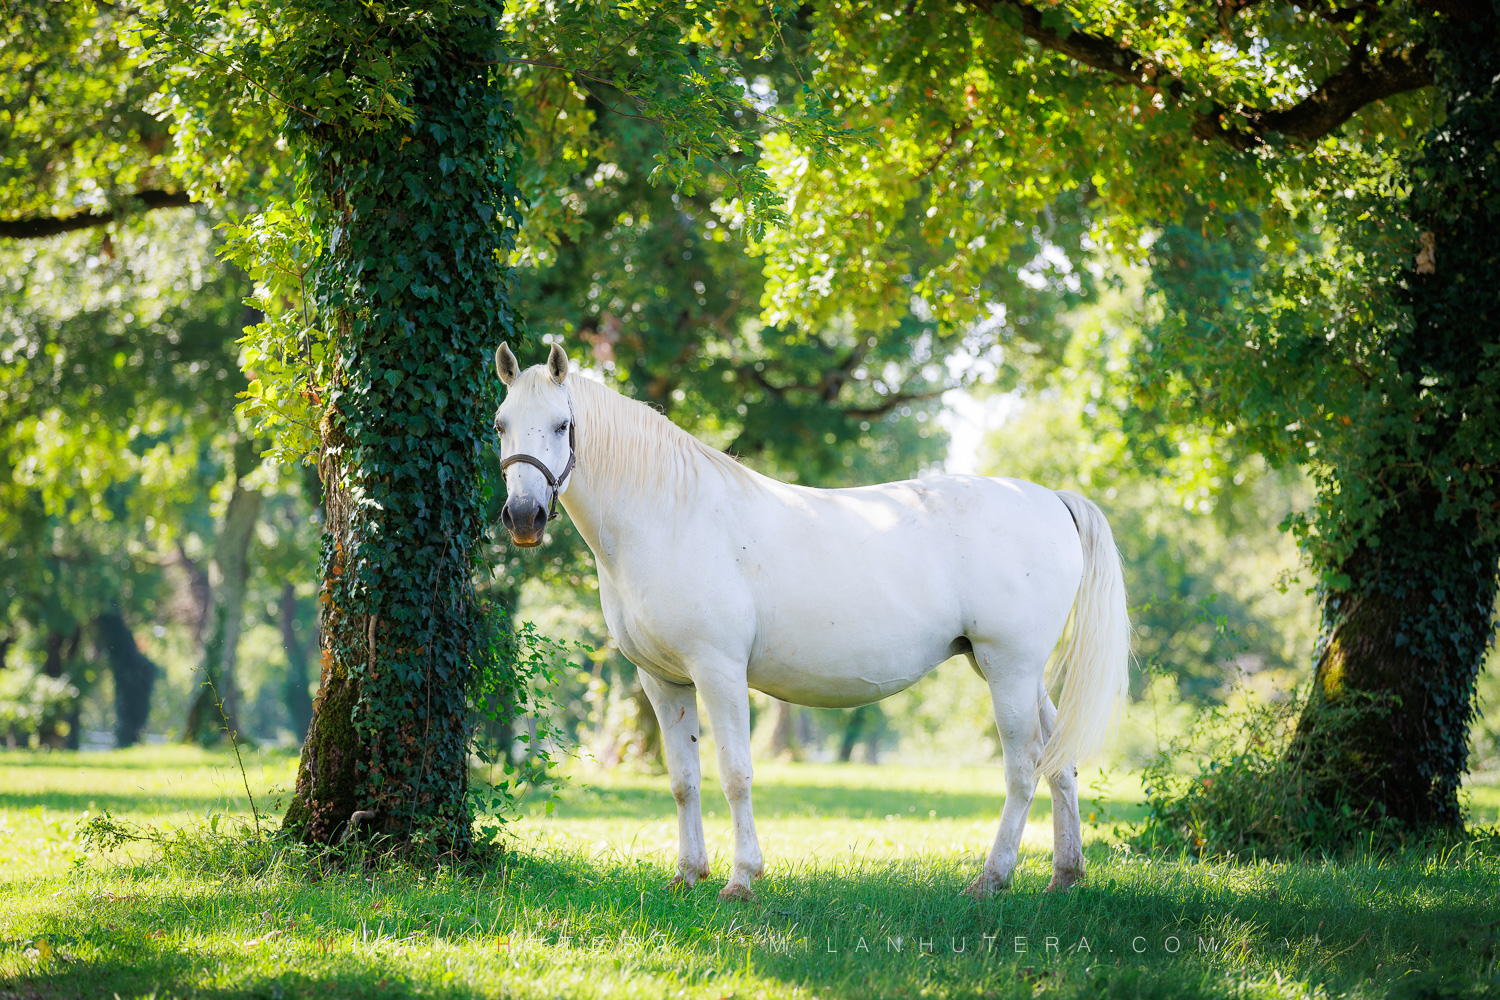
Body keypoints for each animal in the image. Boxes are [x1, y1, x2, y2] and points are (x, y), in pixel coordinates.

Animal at [493, 342, 1130, 901]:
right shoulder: (663, 681)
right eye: (500, 424)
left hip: (1008, 669)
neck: (669, 516)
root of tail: (1050, 498)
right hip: (1015, 672)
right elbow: (683, 781)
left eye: (561, 426)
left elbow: (735, 774)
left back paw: (991, 880)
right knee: (1060, 760)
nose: (524, 517)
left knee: (1023, 769)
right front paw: (687, 875)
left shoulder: (719, 672)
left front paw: (741, 880)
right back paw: (1065, 876)